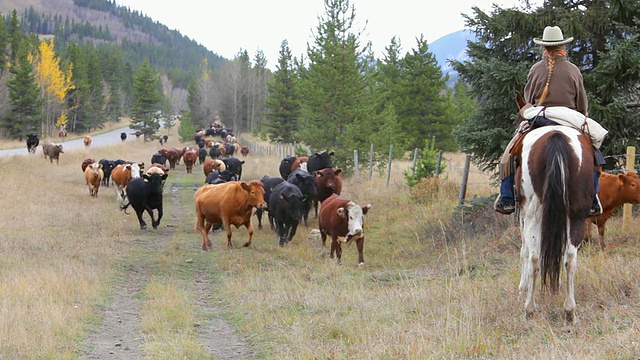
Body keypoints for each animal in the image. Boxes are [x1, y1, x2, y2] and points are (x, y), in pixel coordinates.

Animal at [516, 93, 596, 324]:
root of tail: (557, 135)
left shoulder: (522, 213)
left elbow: (525, 250)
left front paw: (522, 288)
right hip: (577, 214)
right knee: (570, 258)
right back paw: (570, 311)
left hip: (534, 213)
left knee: (534, 257)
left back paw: (529, 308)